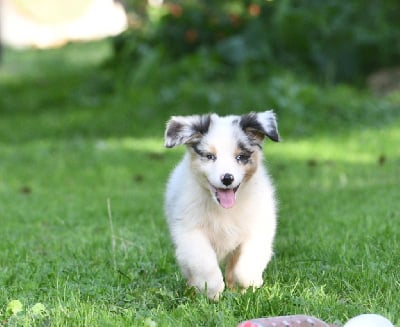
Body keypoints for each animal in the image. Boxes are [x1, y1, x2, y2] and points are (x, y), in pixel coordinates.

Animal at [164, 111, 280, 302]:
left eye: (240, 157)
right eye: (210, 156)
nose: (227, 178)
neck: (224, 209)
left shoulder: (259, 228)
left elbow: (246, 265)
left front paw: (248, 284)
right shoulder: (189, 231)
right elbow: (204, 262)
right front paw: (212, 290)